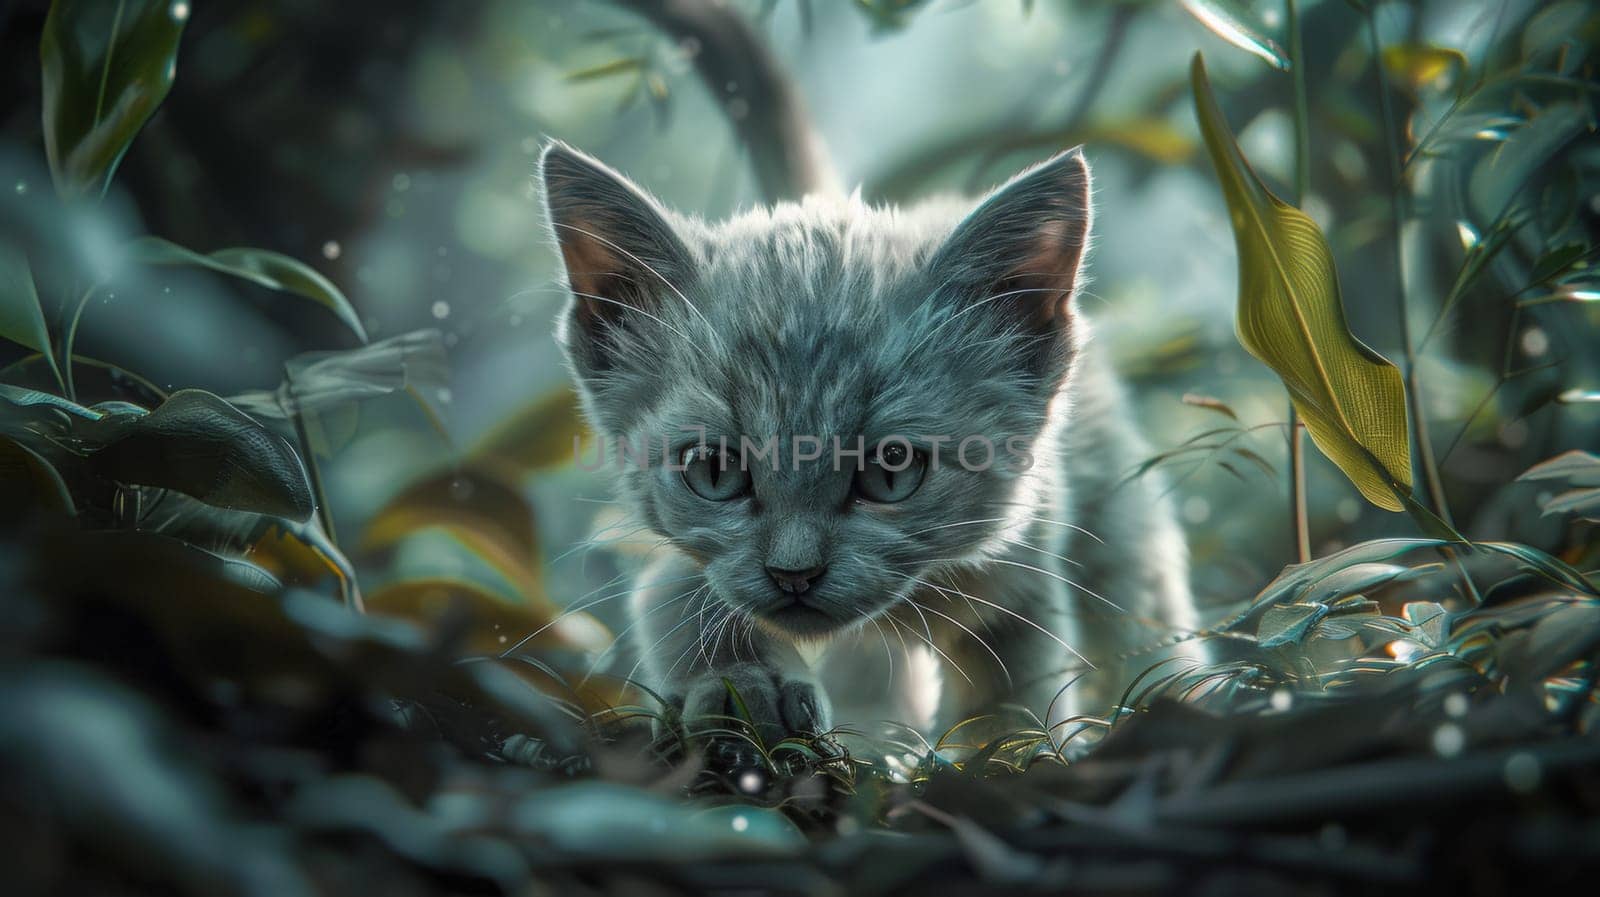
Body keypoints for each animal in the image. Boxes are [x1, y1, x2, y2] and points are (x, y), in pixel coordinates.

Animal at [544, 139, 1196, 741]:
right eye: (713, 471)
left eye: (892, 470)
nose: (794, 574)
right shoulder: (684, 562)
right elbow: (673, 598)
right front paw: (740, 685)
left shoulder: (1025, 572)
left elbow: (1017, 707)